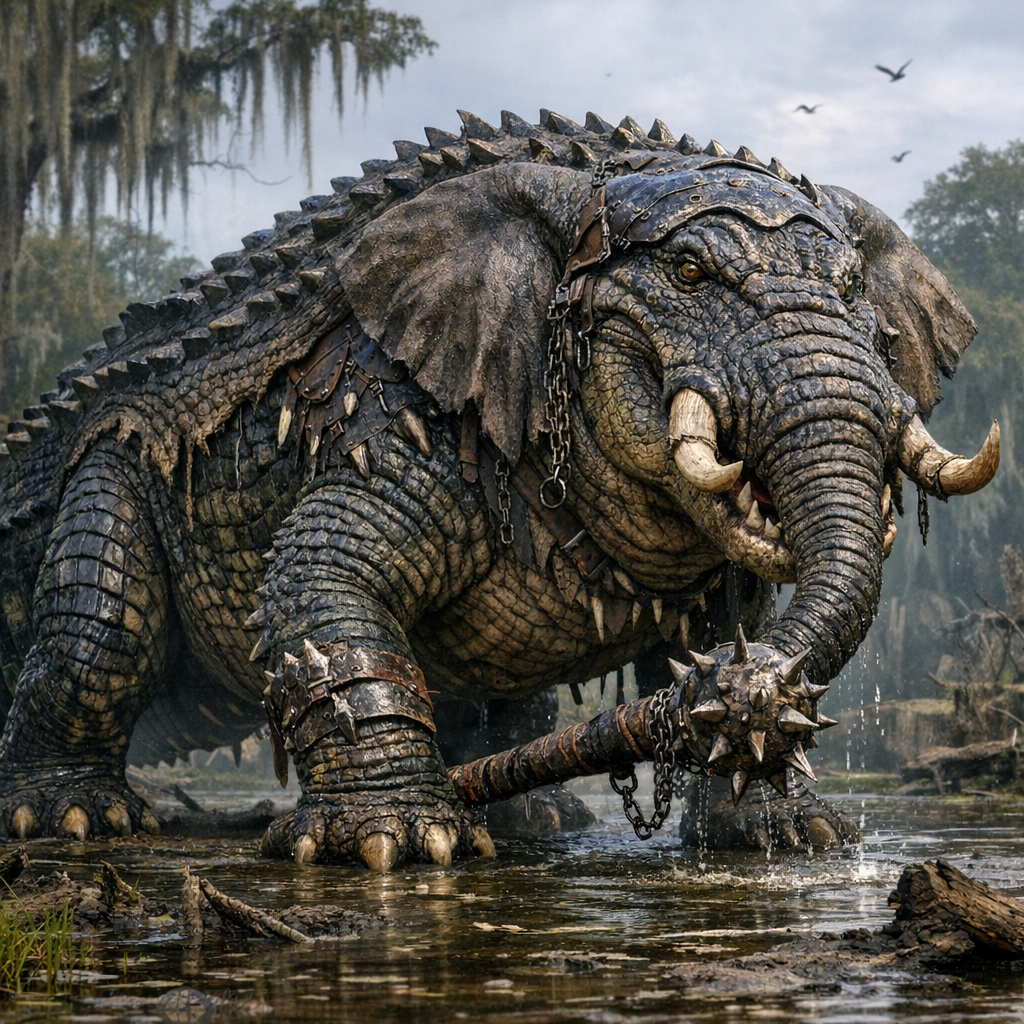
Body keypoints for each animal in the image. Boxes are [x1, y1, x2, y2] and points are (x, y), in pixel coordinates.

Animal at [0, 110, 999, 871]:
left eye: (852, 284)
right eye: (688, 271)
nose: (739, 691)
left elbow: (732, 630)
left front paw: (781, 823)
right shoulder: (398, 418)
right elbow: (327, 589)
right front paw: (394, 832)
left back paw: (532, 812)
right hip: (106, 478)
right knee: (93, 647)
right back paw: (70, 812)